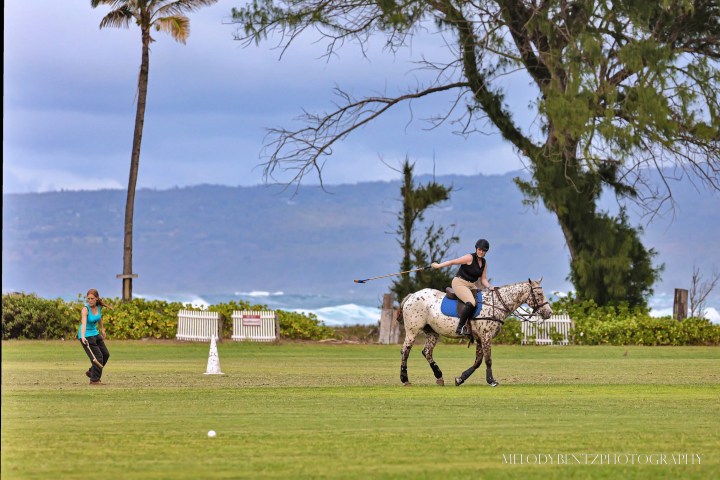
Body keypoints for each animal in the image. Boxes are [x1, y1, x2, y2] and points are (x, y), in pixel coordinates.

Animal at [397, 278, 553, 387]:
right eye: (539, 293)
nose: (549, 312)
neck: (497, 304)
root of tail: (411, 296)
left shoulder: (479, 338)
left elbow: (478, 362)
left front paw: (460, 379)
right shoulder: (486, 336)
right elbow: (488, 360)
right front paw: (491, 380)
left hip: (433, 332)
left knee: (427, 352)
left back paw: (439, 377)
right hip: (412, 331)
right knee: (405, 351)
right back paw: (405, 379)